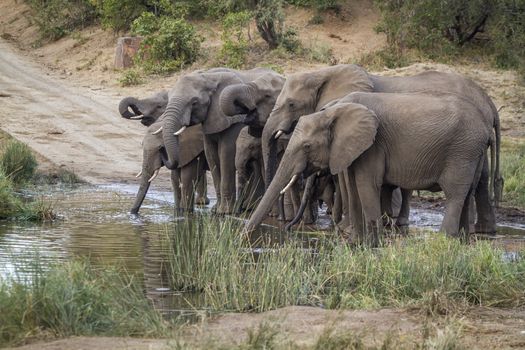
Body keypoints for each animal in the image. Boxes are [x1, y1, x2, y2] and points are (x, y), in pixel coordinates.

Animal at [160, 66, 282, 213]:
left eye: (194, 102)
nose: (162, 153)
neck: (209, 76)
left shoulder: (234, 122)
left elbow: (226, 153)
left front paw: (225, 212)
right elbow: (211, 155)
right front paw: (216, 211)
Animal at [264, 64, 502, 234]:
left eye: (291, 104)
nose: (285, 225)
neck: (324, 72)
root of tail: (489, 102)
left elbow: (346, 179)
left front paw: (344, 227)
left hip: (463, 145)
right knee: (480, 179)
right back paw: (481, 230)